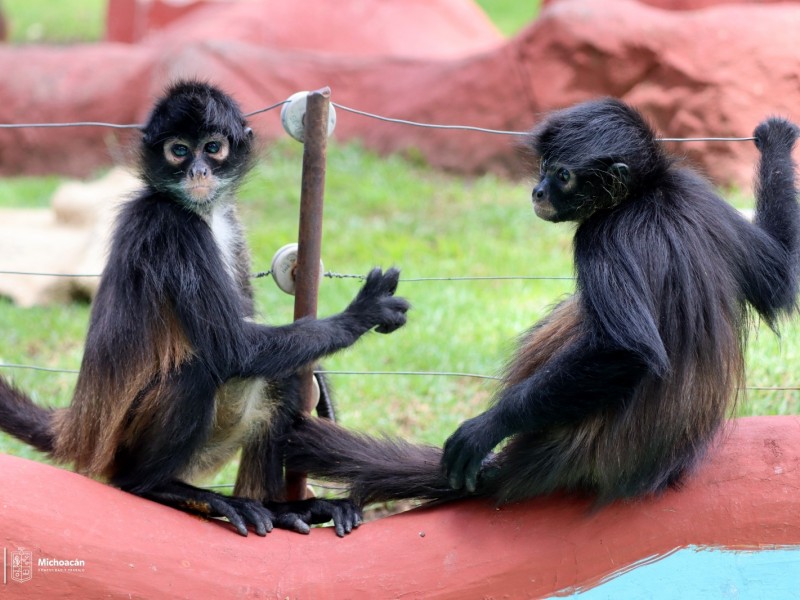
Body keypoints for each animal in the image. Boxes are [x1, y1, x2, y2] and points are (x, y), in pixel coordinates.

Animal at [0, 81, 412, 540]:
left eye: (212, 148)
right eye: (179, 150)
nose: (198, 171)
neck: (200, 212)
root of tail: (80, 431)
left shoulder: (228, 221)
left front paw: (321, 378)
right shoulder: (171, 227)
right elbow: (234, 347)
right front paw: (360, 315)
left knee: (282, 374)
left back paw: (285, 510)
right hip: (127, 446)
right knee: (200, 369)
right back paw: (156, 486)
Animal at [282, 98, 800, 510]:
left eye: (562, 175)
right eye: (544, 165)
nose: (537, 190)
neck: (645, 194)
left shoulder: (599, 235)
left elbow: (627, 352)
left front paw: (485, 428)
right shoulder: (699, 192)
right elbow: (780, 283)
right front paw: (777, 142)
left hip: (585, 446)